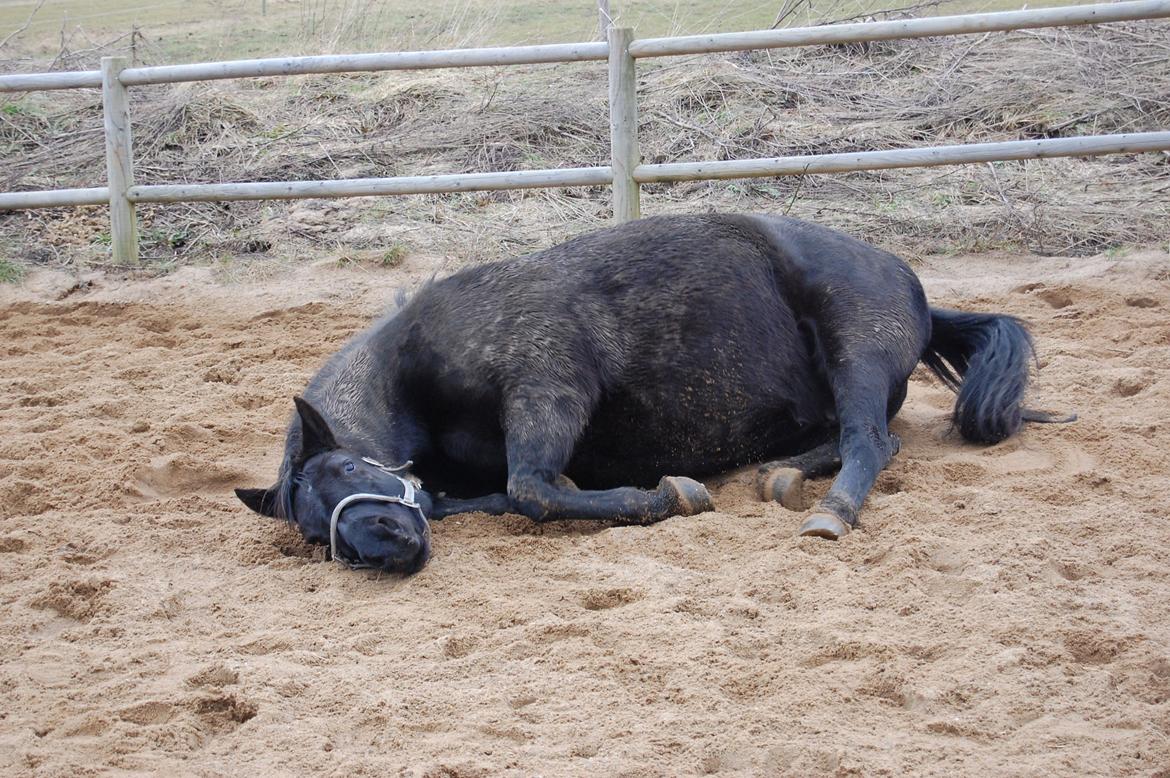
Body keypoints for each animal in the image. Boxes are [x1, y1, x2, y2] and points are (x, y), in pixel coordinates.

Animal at [237, 212, 1071, 570]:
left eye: (349, 467)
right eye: (312, 533)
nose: (387, 546)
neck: (414, 361)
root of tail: (913, 288)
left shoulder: (548, 383)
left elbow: (533, 489)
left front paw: (670, 495)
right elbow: (498, 498)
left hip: (856, 351)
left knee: (871, 440)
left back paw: (829, 512)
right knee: (844, 438)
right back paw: (783, 474)